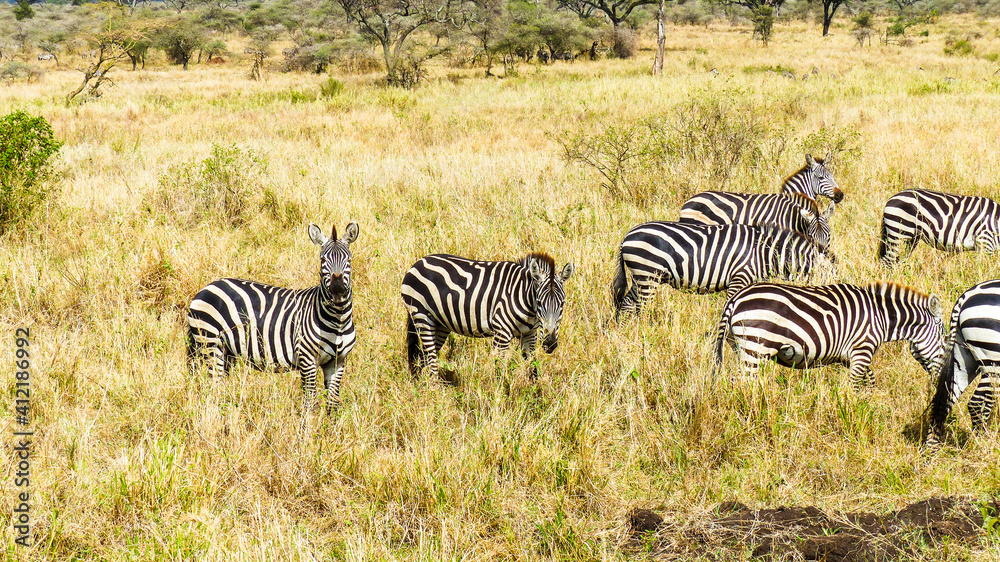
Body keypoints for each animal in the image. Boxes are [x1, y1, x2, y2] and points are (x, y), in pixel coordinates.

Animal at [187, 222, 359, 421]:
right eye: (322, 260)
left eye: (349, 260)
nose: (338, 291)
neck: (337, 320)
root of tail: (206, 288)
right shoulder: (307, 358)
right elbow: (310, 403)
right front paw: (308, 430)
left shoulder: (338, 361)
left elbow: (332, 403)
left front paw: (330, 429)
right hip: (210, 343)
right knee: (213, 389)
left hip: (226, 351)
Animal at [401, 253, 574, 380]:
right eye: (539, 302)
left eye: (562, 303)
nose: (550, 344)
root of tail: (418, 263)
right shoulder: (502, 333)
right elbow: (500, 372)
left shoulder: (530, 335)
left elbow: (533, 370)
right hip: (422, 316)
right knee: (430, 360)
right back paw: (434, 393)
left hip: (440, 324)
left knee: (423, 358)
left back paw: (422, 389)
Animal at [611, 222, 836, 319]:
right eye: (830, 276)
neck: (764, 252)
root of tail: (625, 238)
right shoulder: (740, 277)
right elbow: (729, 305)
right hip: (648, 275)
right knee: (639, 307)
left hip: (641, 277)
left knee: (627, 303)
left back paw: (626, 331)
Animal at [712, 281, 945, 390]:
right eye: (945, 342)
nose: (940, 381)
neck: (882, 316)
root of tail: (735, 298)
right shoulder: (862, 349)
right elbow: (854, 385)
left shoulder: (850, 356)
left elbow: (869, 381)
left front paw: (867, 404)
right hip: (756, 347)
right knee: (744, 383)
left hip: (741, 347)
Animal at [926, 280, 1000, 448]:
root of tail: (965, 298)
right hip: (994, 361)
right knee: (977, 404)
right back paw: (983, 446)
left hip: (964, 359)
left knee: (944, 403)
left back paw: (931, 449)